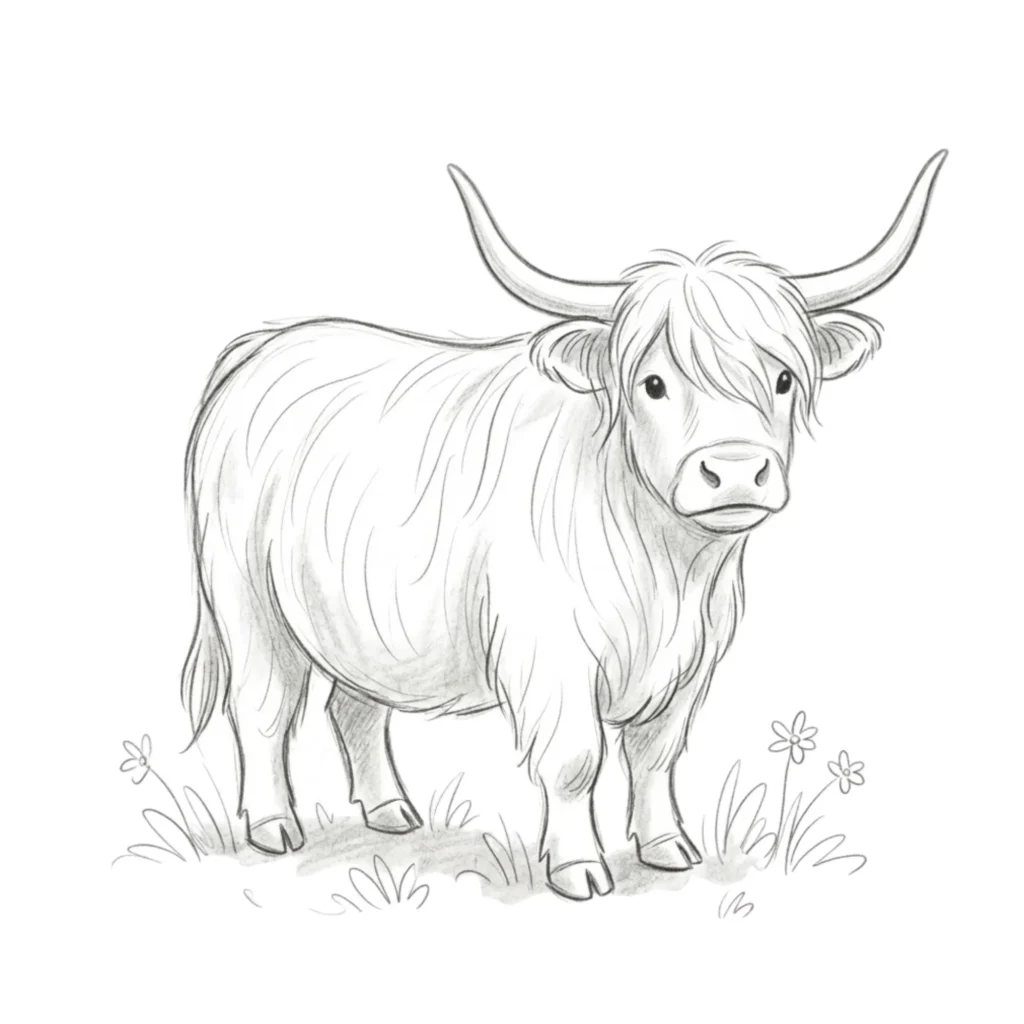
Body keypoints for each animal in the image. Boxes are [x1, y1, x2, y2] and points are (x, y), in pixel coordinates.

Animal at [181, 152, 946, 899]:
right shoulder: (549, 652)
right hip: (246, 597)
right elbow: (577, 758)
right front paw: (578, 867)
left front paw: (667, 846)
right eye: (654, 383)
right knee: (264, 706)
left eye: (784, 379)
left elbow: (655, 753)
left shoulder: (694, 658)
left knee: (356, 708)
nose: (734, 472)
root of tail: (271, 345)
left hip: (357, 619)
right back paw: (273, 826)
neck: (669, 568)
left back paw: (391, 810)